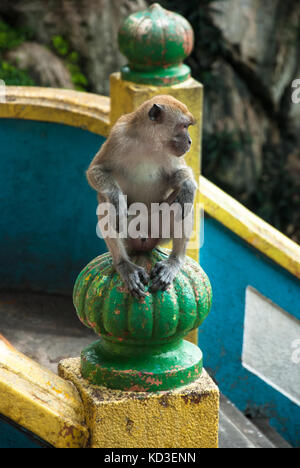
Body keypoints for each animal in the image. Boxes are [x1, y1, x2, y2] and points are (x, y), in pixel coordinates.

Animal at [87, 95, 197, 300]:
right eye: (184, 126)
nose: (190, 142)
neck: (149, 141)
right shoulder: (118, 136)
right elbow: (96, 171)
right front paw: (118, 200)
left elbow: (177, 177)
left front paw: (188, 184)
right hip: (129, 234)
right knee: (105, 202)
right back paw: (125, 265)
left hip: (159, 230)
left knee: (185, 204)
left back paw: (174, 262)